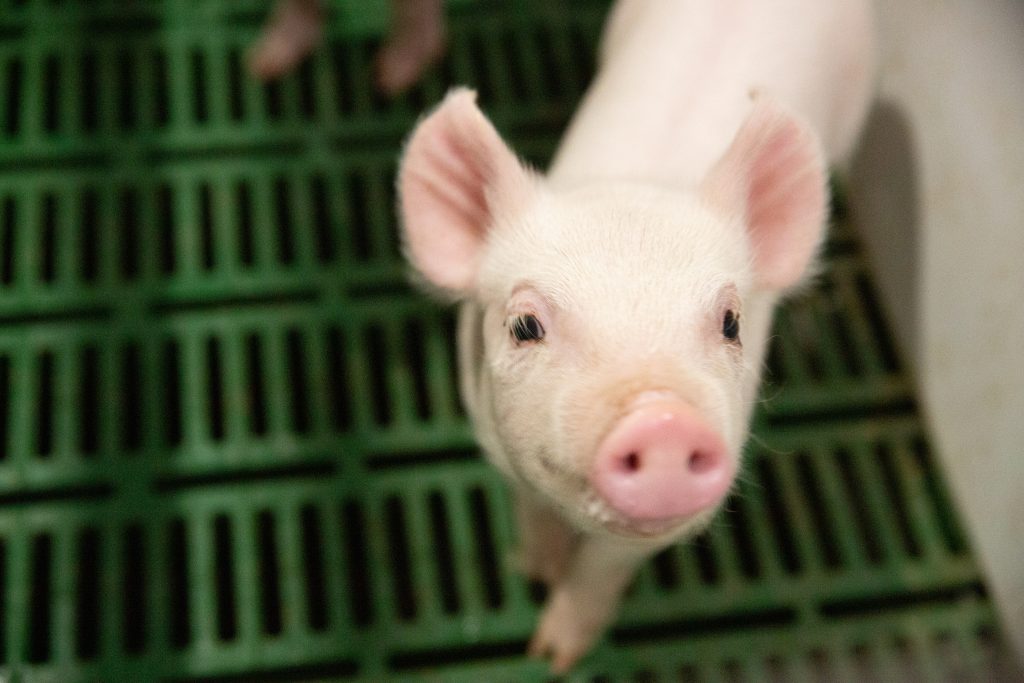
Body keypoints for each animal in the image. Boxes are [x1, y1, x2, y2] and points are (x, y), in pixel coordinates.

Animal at [397, 0, 875, 672]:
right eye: (524, 326)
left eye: (731, 323)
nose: (663, 420)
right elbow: (532, 510)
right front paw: (535, 574)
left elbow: (603, 569)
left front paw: (555, 656)